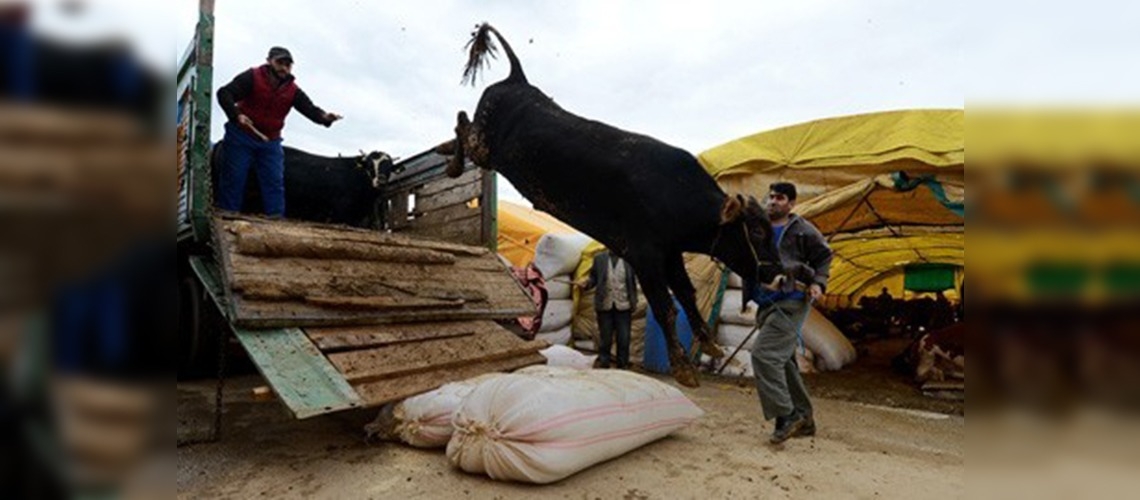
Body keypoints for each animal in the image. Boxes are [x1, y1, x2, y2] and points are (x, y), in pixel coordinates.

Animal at [435, 23, 793, 389]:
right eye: (756, 231)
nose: (780, 276)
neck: (673, 193)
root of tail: (518, 79)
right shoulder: (645, 255)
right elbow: (665, 307)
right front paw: (683, 367)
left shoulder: (670, 254)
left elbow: (686, 294)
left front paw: (709, 344)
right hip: (484, 146)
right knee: (463, 123)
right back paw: (453, 163)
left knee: (461, 126)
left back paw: (445, 151)